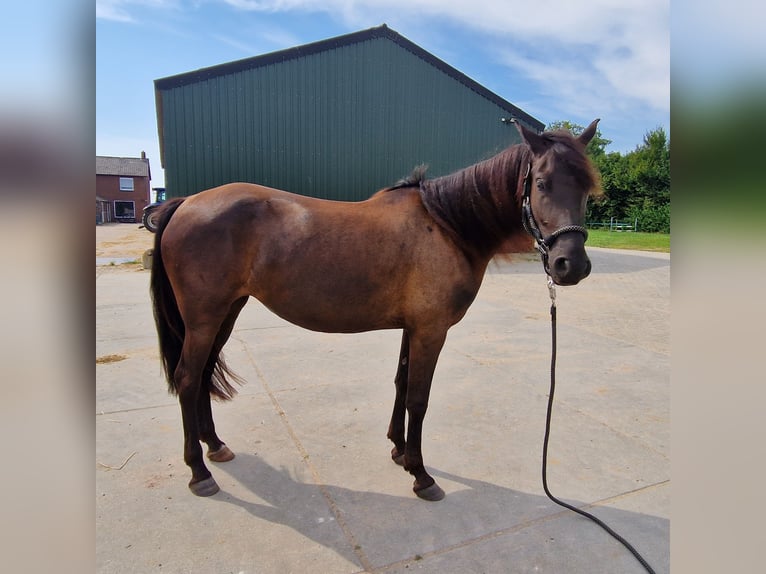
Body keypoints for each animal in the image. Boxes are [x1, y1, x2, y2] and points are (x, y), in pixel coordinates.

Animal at [150, 119, 604, 502]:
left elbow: (401, 385)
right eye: (541, 183)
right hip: (205, 317)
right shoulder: (431, 330)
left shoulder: (413, 327)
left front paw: (399, 451)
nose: (571, 266)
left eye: (587, 188)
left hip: (226, 312)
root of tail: (187, 202)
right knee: (188, 377)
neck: (448, 226)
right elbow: (419, 398)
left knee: (204, 373)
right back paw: (199, 472)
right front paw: (421, 475)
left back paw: (215, 446)